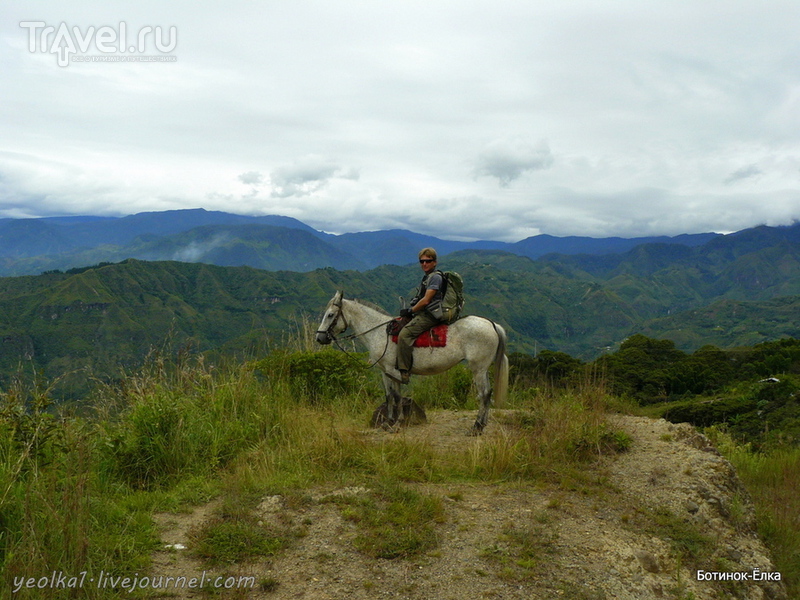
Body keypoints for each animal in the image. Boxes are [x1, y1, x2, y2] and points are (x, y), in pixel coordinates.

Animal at [316, 290, 510, 434]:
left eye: (330, 315)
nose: (320, 338)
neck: (380, 332)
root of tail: (491, 324)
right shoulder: (385, 371)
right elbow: (389, 396)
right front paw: (389, 422)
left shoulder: (393, 371)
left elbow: (397, 396)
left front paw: (397, 423)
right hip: (483, 369)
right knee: (488, 393)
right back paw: (482, 425)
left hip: (478, 368)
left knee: (483, 394)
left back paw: (476, 427)